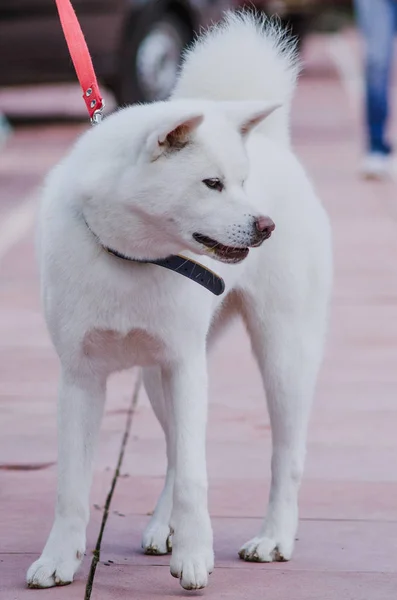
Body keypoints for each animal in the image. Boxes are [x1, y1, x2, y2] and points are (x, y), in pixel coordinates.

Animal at [25, 11, 332, 592]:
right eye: (211, 183)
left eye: (241, 182)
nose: (265, 226)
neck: (130, 258)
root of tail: (274, 144)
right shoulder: (81, 378)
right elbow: (71, 486)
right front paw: (57, 559)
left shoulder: (185, 366)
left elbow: (195, 476)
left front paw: (195, 557)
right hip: (157, 378)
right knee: (173, 451)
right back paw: (162, 527)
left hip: (282, 357)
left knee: (287, 456)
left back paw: (273, 537)